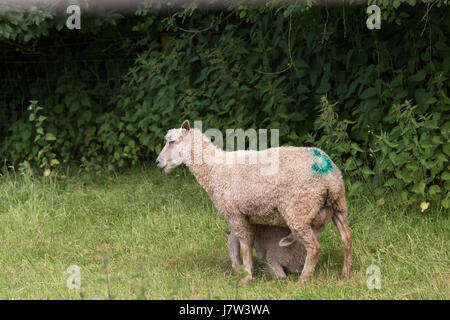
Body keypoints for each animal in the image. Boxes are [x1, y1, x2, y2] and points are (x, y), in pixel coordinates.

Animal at [156, 120, 354, 284]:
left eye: (171, 141)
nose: (157, 162)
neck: (215, 169)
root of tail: (328, 174)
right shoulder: (244, 215)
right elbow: (234, 241)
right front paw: (240, 268)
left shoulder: (235, 214)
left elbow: (244, 246)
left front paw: (246, 277)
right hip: (338, 206)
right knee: (347, 238)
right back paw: (345, 274)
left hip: (298, 210)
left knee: (314, 248)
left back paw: (302, 281)